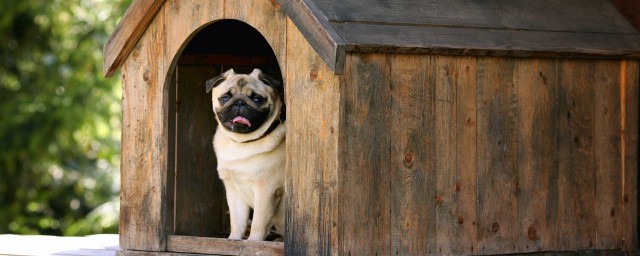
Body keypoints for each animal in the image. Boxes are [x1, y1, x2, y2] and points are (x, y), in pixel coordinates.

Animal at [206, 68, 286, 240]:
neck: (242, 143)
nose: (240, 102)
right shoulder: (234, 191)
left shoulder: (266, 190)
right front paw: (234, 240)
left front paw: (254, 241)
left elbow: (258, 223)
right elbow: (237, 222)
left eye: (257, 99)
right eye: (225, 98)